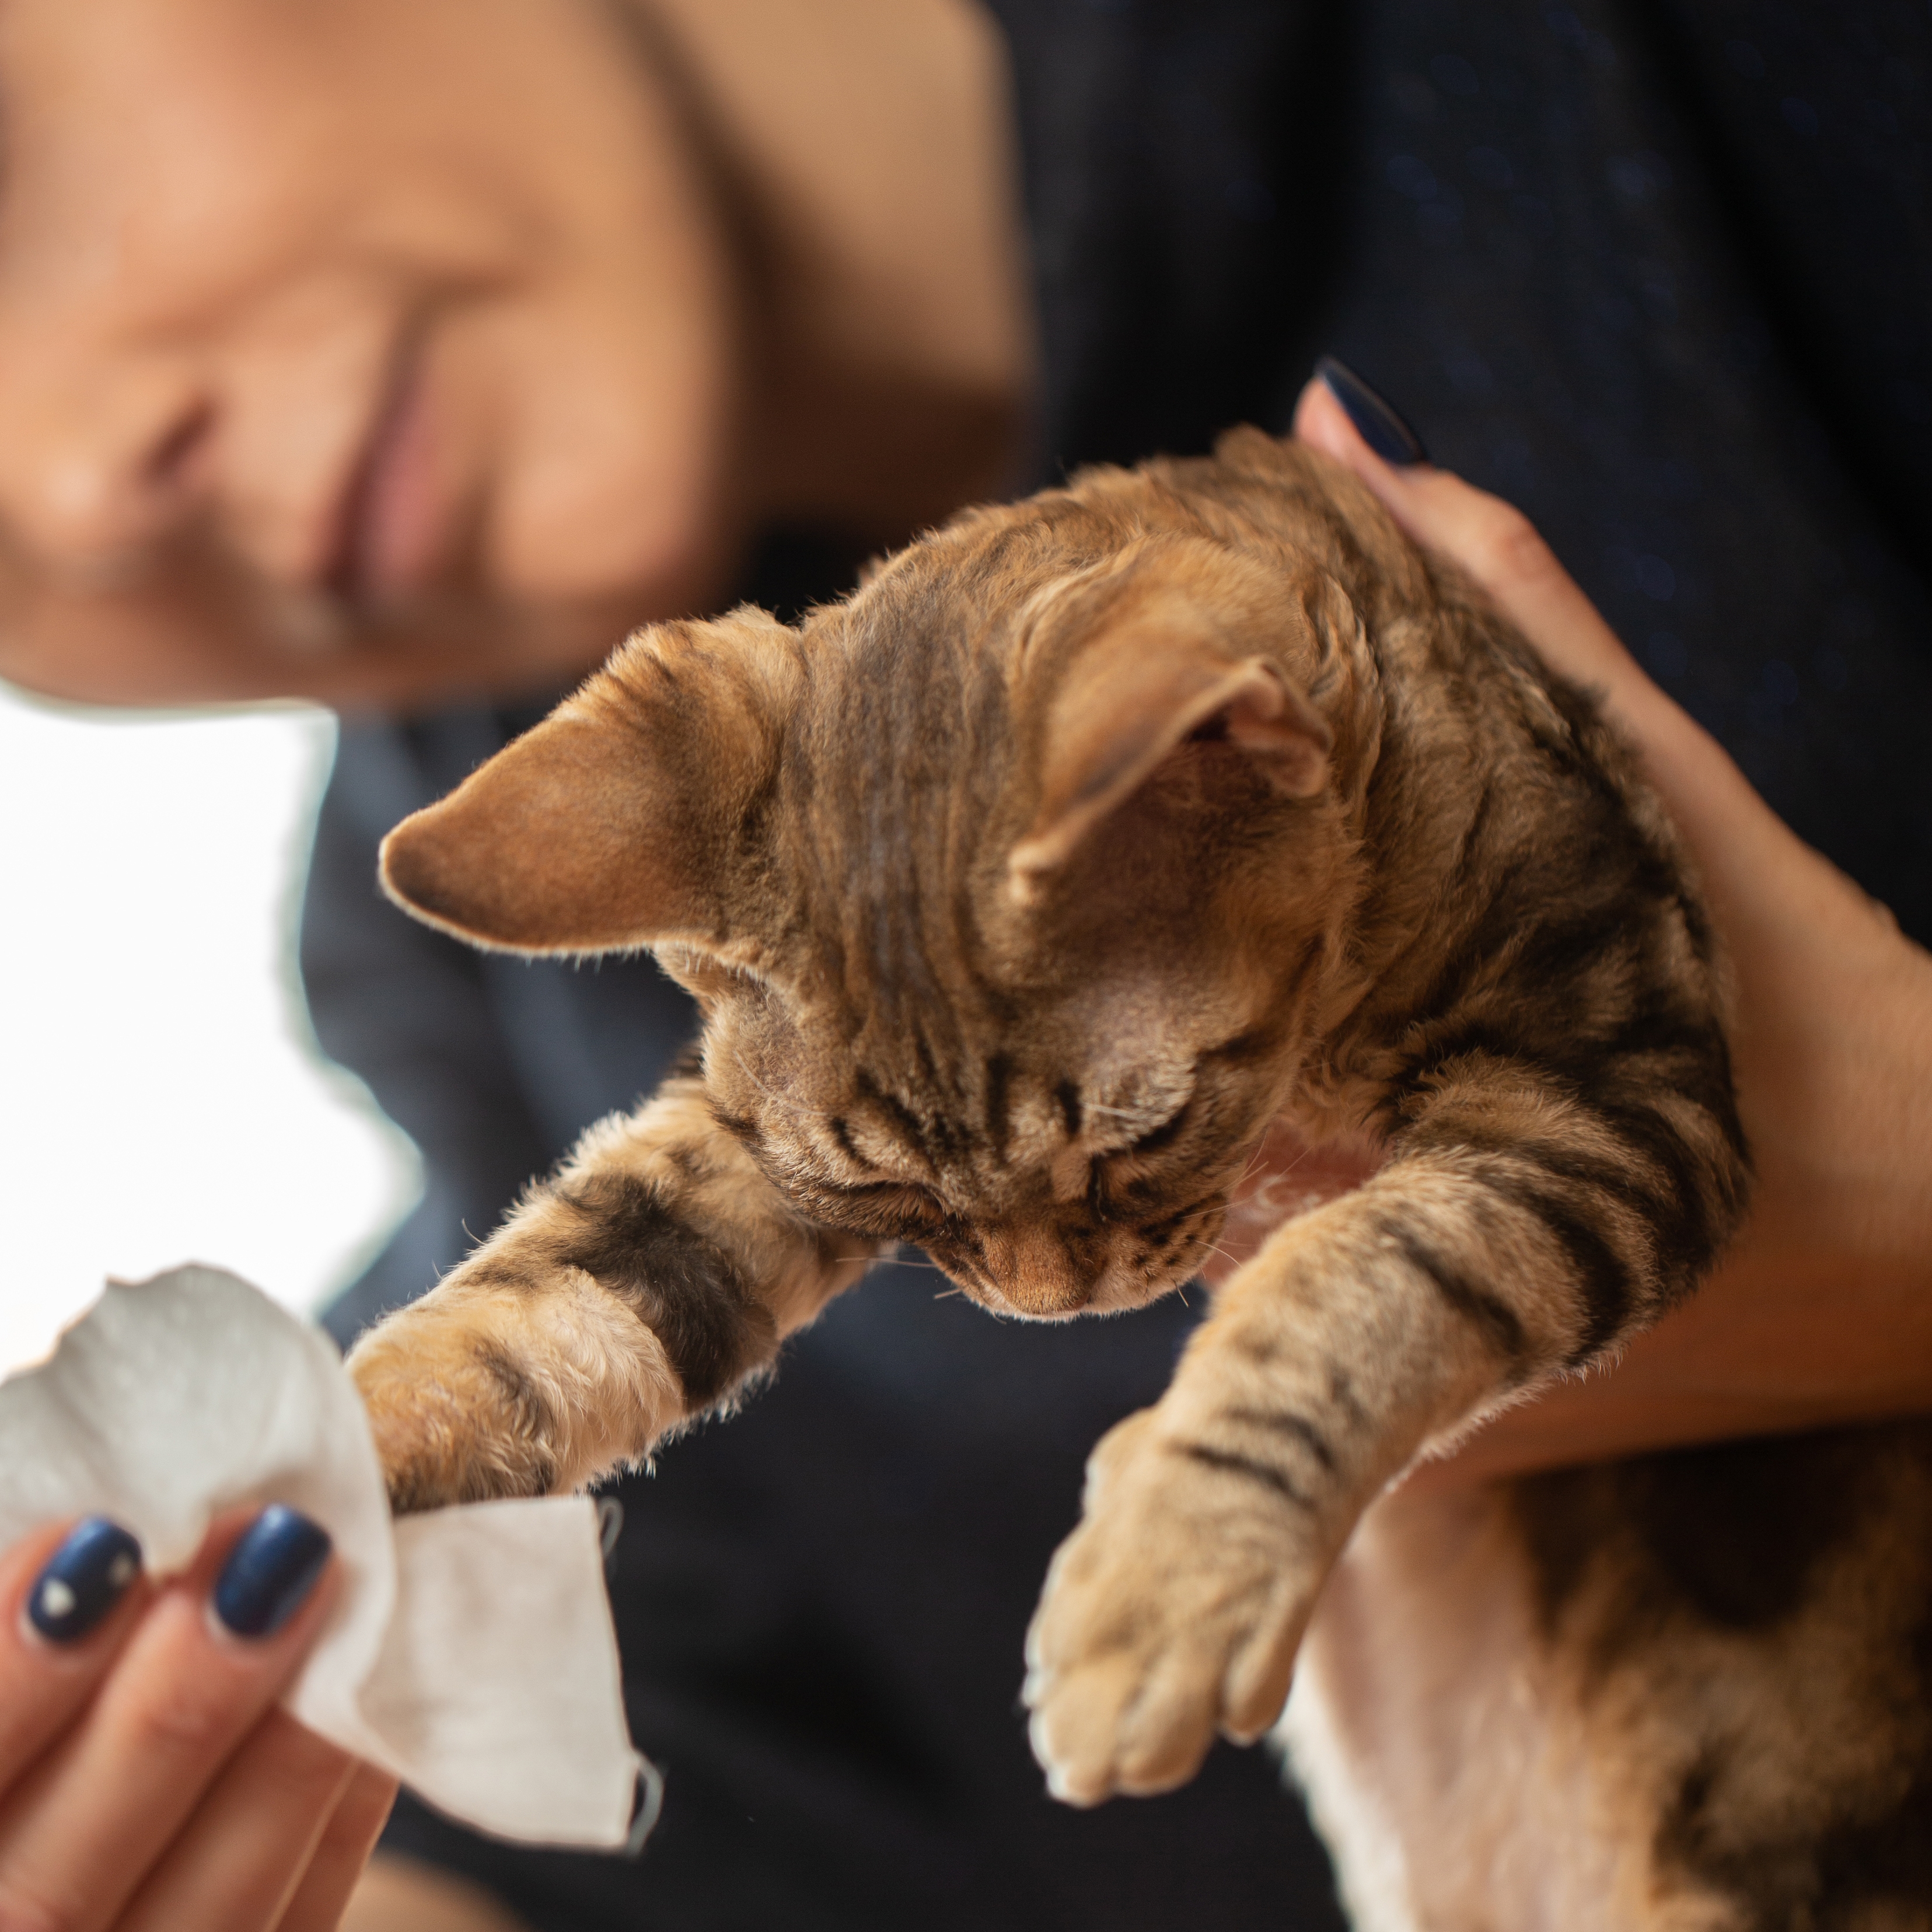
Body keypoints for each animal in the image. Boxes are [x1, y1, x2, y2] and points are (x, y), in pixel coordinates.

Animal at [347, 431, 1932, 1924]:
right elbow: (550, 1294)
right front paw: (324, 1445)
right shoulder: (747, 1154)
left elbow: (1368, 1275)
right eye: (898, 1205)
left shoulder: (1620, 1090)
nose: (1044, 1305)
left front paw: (1172, 1565)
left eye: (1132, 1140)